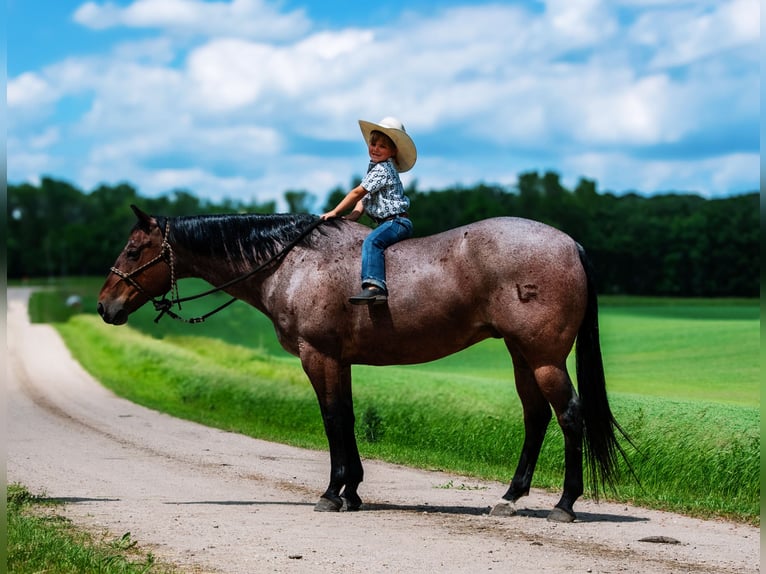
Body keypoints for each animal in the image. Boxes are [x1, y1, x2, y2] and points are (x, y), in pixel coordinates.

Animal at [99, 207, 632, 528]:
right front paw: (352, 490)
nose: (106, 307)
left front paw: (333, 491)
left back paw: (565, 504)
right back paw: (510, 497)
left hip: (543, 358)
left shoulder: (318, 356)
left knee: (569, 416)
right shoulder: (341, 361)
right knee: (536, 417)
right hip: (523, 356)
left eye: (134, 250)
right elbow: (348, 418)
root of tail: (570, 245)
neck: (291, 263)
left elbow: (332, 419)